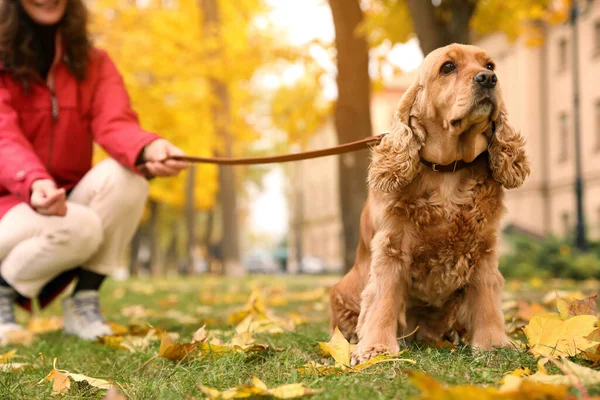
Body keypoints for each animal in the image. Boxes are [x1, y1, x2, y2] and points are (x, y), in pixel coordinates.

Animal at [328, 42, 528, 364]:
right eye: (448, 67)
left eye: (490, 65)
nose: (488, 79)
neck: (448, 172)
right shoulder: (391, 246)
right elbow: (383, 298)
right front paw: (375, 349)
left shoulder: (484, 248)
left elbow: (487, 298)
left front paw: (494, 346)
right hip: (342, 292)